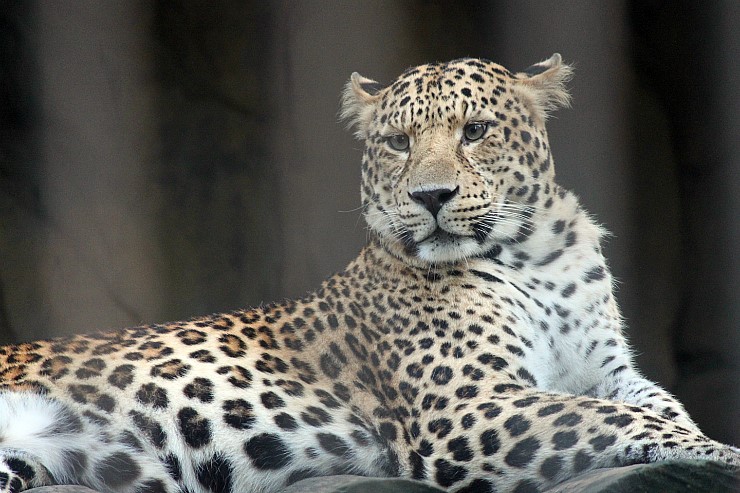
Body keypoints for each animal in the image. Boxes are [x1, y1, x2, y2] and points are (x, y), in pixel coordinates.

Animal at [0, 54, 737, 493]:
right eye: (397, 142)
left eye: (475, 131)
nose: (432, 196)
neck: (537, 255)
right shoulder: (462, 402)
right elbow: (603, 418)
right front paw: (722, 454)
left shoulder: (608, 369)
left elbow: (656, 404)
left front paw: (704, 443)